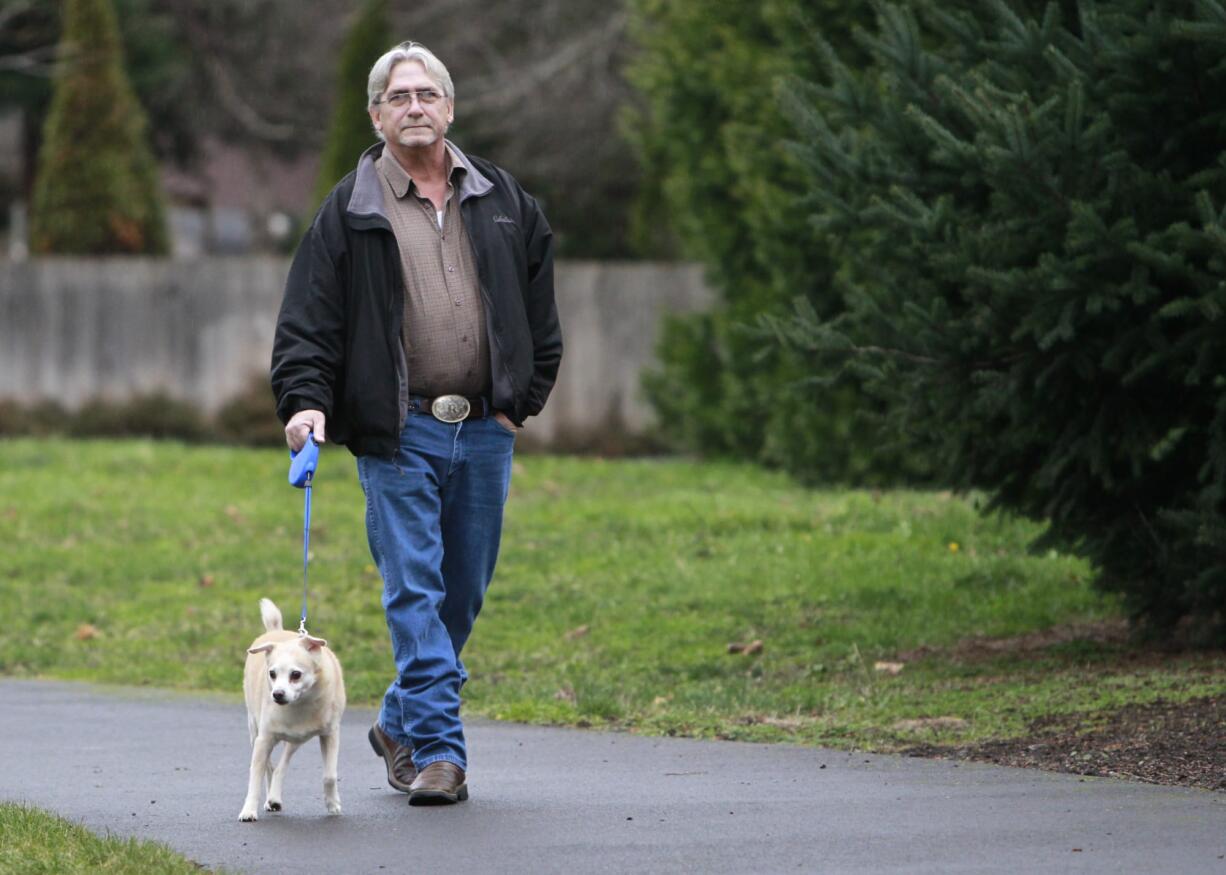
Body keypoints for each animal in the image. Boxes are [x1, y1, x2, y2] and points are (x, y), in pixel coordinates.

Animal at [237, 593, 345, 818]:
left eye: (296, 674)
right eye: (272, 674)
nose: (277, 694)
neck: (301, 703)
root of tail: (275, 631)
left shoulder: (330, 734)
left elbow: (330, 775)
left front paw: (332, 804)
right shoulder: (263, 740)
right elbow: (255, 777)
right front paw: (248, 810)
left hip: (296, 740)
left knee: (281, 765)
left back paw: (275, 796)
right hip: (255, 730)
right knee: (270, 768)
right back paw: (271, 799)